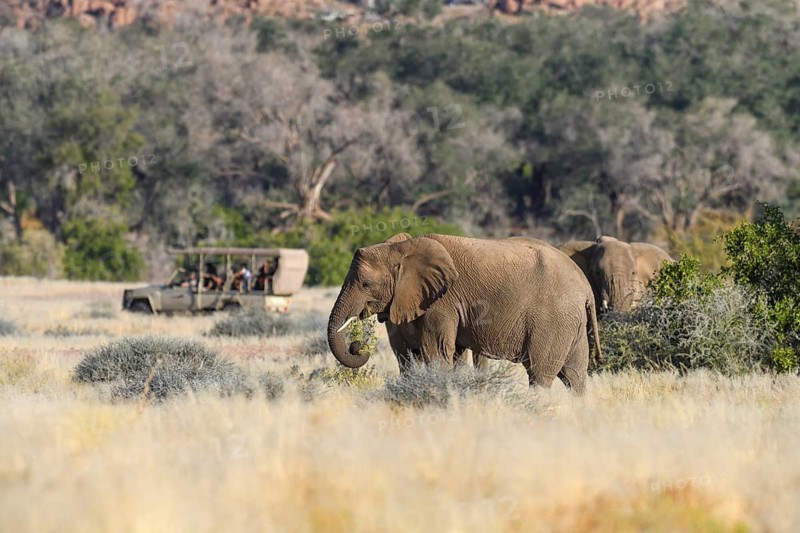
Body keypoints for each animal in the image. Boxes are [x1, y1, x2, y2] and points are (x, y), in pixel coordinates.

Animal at [327, 233, 602, 394]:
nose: (356, 345)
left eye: (365, 284)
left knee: (540, 374)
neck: (402, 247)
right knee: (575, 376)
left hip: (554, 318)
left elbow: (436, 353)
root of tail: (584, 286)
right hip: (571, 322)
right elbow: (412, 356)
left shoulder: (443, 301)